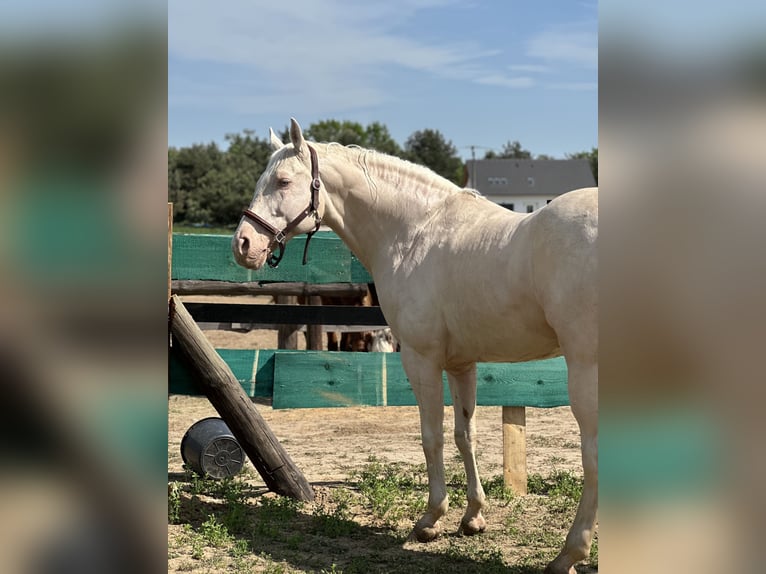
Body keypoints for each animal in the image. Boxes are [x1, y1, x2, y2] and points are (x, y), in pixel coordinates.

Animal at [231, 119, 596, 572]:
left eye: (282, 181)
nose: (243, 244)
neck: (416, 233)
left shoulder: (421, 360)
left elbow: (431, 437)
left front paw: (430, 520)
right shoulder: (461, 364)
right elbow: (464, 435)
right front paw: (473, 517)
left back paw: (569, 552)